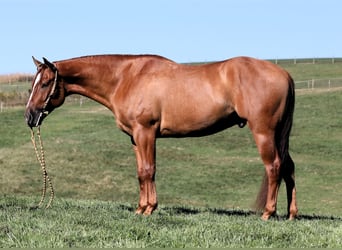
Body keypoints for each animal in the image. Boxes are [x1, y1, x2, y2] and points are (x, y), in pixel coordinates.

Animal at [24, 54, 296, 219]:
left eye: (45, 83)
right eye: (32, 85)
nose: (29, 116)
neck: (125, 78)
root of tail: (284, 74)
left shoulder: (146, 132)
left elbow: (148, 170)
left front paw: (149, 209)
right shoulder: (135, 138)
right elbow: (140, 173)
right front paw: (141, 208)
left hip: (263, 132)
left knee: (274, 167)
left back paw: (268, 213)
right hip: (278, 135)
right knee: (289, 168)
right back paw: (292, 214)